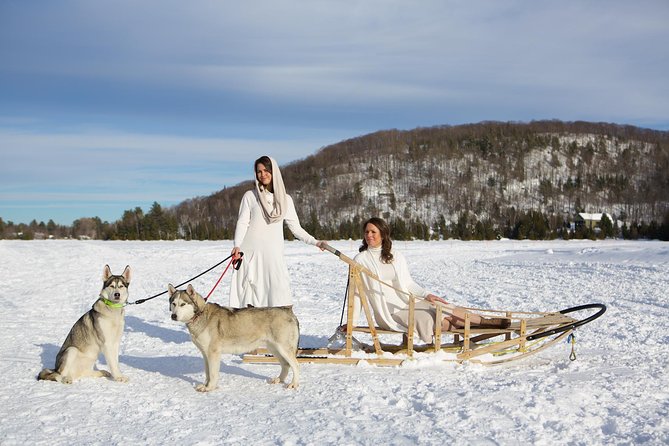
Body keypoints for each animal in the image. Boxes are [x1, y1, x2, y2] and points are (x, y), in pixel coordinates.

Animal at [170, 284, 300, 392]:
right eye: (173, 304)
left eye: (183, 304)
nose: (173, 316)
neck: (200, 314)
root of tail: (289, 311)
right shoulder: (205, 354)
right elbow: (207, 373)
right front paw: (205, 386)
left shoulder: (213, 353)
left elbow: (213, 374)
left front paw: (210, 388)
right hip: (274, 349)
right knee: (285, 365)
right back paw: (279, 380)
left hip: (283, 349)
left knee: (295, 365)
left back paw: (294, 384)